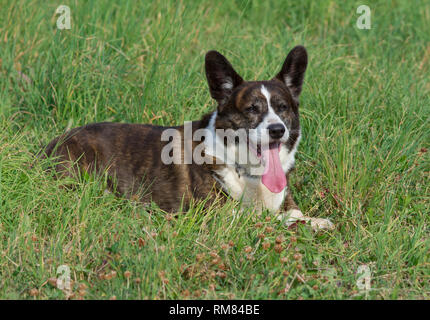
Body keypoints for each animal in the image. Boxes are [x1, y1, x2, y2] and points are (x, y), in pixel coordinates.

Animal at [42, 45, 334, 230]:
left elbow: (295, 212)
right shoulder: (219, 216)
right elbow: (270, 220)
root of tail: (48, 147)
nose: (277, 130)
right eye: (252, 109)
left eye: (282, 108)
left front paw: (316, 221)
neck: (248, 173)